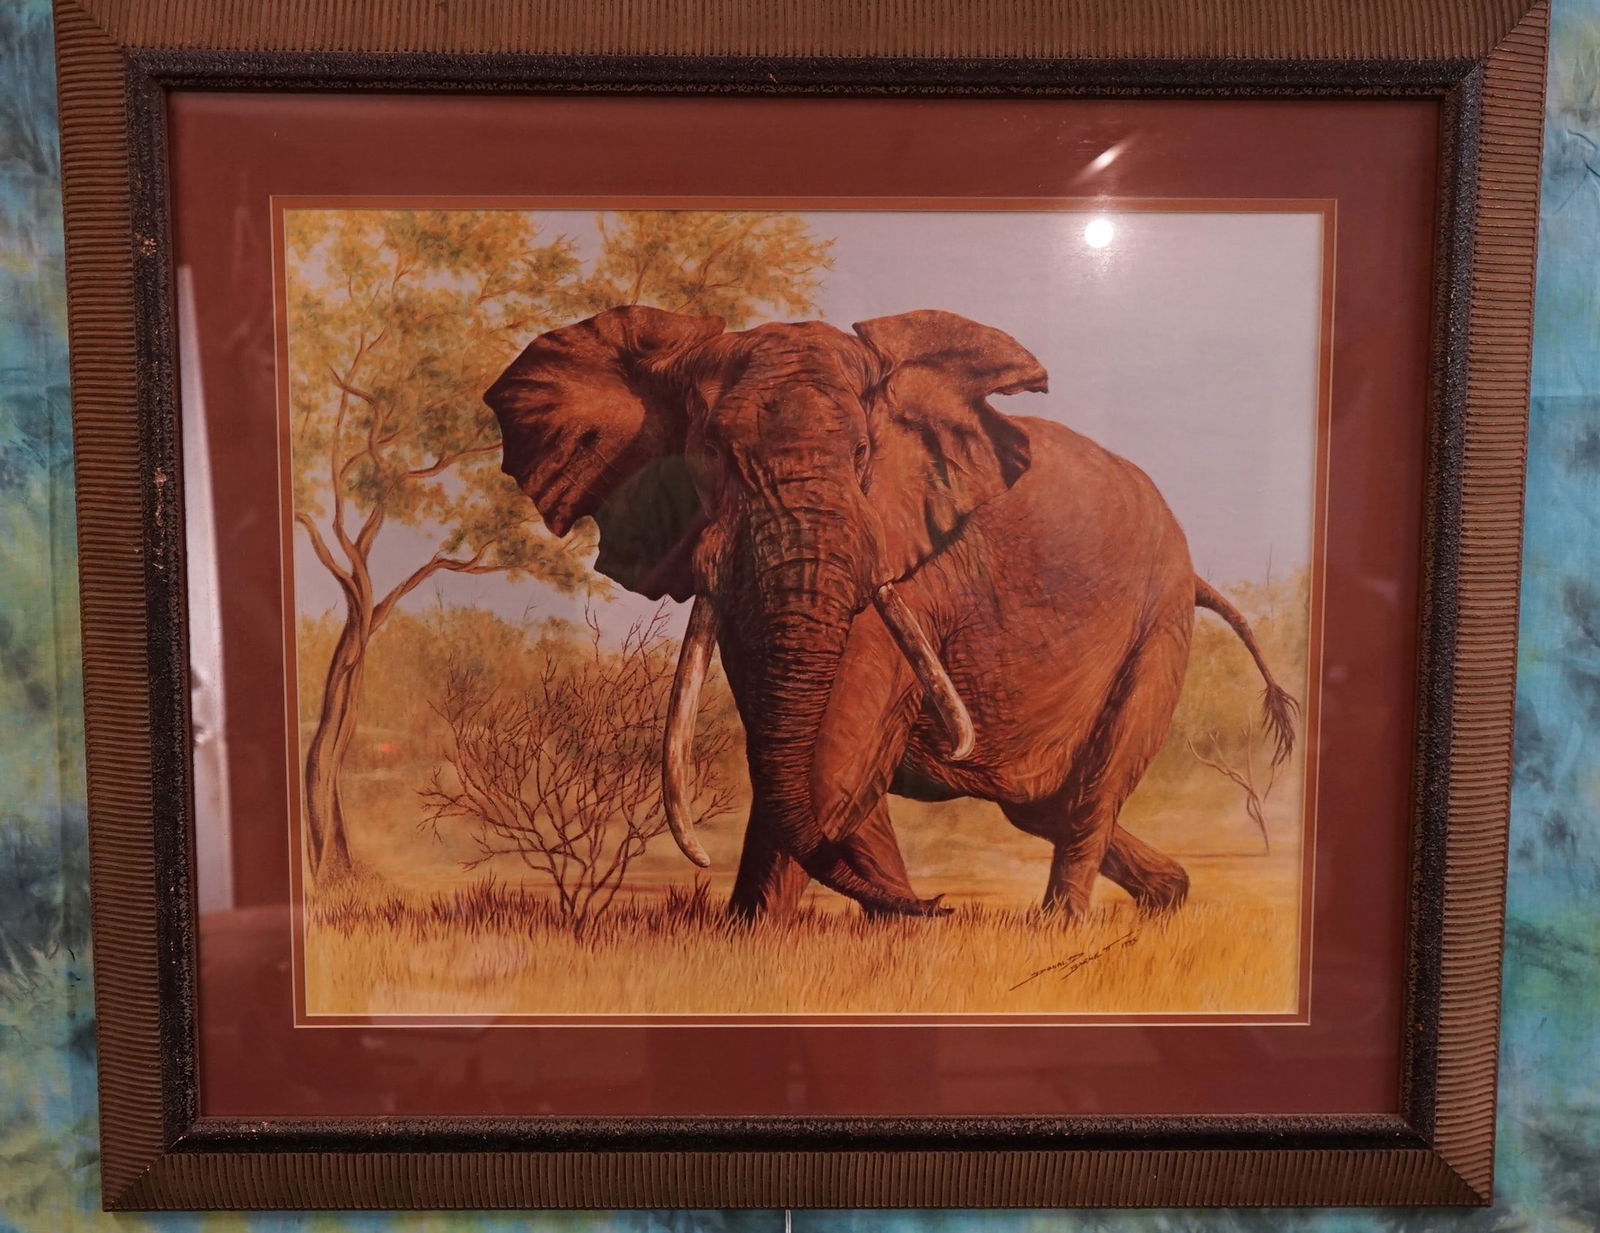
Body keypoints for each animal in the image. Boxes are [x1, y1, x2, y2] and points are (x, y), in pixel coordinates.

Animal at [484, 305, 1297, 921]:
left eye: (863, 453)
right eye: (711, 452)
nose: (944, 905)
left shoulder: (908, 570)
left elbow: (833, 762)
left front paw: (753, 938)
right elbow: (819, 761)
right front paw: (881, 924)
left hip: (1158, 624)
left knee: (1091, 790)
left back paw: (1060, 927)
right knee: (1043, 804)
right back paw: (1169, 896)